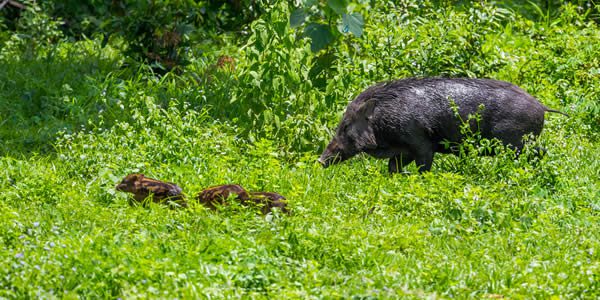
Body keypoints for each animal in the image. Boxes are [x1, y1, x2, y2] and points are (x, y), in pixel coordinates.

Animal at [318, 77, 568, 173]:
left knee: (540, 152)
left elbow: (423, 168)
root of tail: (542, 107)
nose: (320, 160)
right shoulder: (403, 151)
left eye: (346, 125)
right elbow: (392, 168)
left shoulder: (421, 144)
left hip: (516, 143)